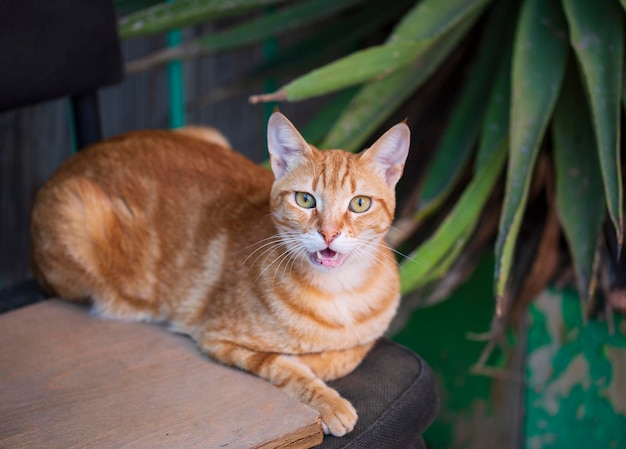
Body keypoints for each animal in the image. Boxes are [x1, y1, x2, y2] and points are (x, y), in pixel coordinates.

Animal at [30, 112, 410, 438]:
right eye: (305, 199)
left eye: (359, 204)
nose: (329, 234)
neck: (339, 292)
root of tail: (71, 162)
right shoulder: (218, 338)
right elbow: (285, 364)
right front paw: (328, 400)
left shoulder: (370, 334)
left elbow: (348, 354)